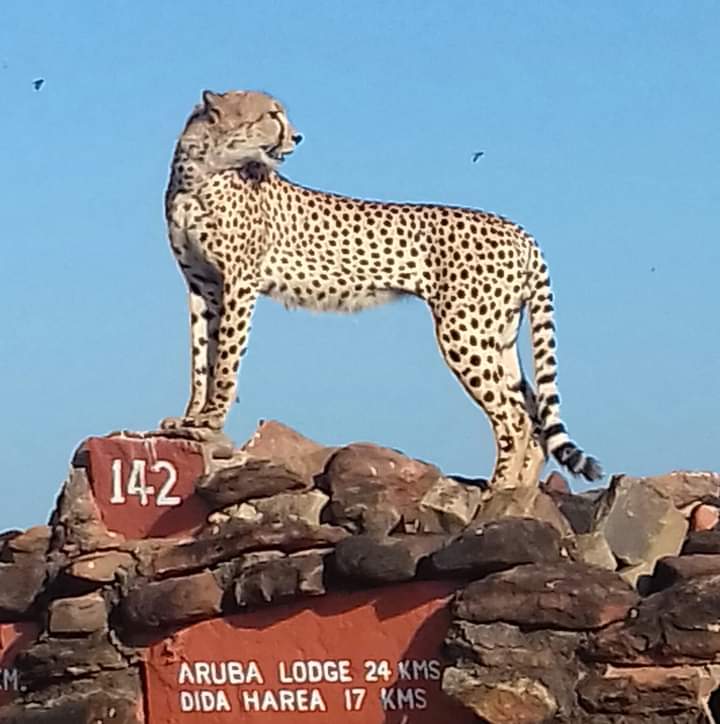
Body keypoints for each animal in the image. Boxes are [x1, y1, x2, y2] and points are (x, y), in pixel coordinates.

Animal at [160, 89, 602, 489]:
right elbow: (201, 357)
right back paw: (519, 493)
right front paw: (191, 418)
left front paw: (211, 419)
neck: (202, 170)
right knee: (533, 414)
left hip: (464, 330)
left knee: (515, 418)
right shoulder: (202, 285)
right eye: (272, 114)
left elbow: (226, 359)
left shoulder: (239, 283)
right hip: (499, 332)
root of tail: (520, 231)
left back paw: (498, 493)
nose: (298, 136)